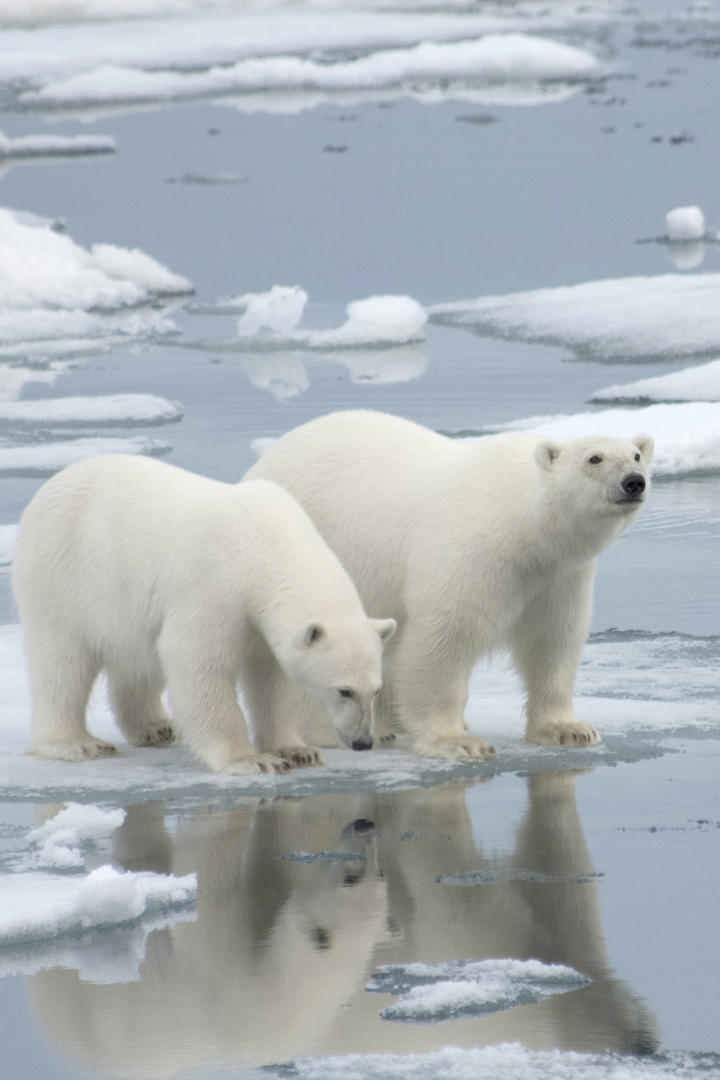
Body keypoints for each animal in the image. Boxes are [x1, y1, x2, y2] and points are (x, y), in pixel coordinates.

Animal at [9, 455, 395, 777]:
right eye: (344, 690)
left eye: (375, 689)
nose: (363, 742)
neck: (263, 542)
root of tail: (53, 483)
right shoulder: (214, 585)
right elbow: (197, 662)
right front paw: (252, 760)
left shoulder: (259, 621)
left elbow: (272, 679)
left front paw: (298, 751)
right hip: (61, 575)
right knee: (61, 663)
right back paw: (77, 743)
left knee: (138, 663)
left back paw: (155, 727)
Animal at [250, 410, 656, 760]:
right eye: (594, 458)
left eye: (636, 455)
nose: (634, 482)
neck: (524, 522)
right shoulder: (473, 551)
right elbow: (445, 637)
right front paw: (457, 741)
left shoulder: (559, 575)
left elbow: (554, 639)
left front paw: (569, 729)